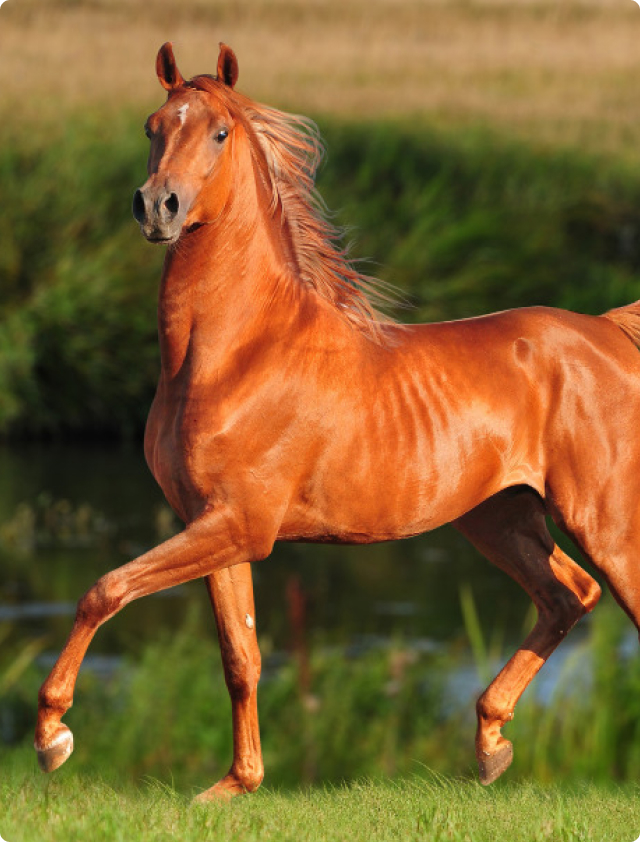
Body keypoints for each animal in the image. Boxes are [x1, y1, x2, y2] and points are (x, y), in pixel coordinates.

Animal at [34, 41, 640, 799]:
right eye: (152, 126)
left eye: (220, 133)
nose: (157, 206)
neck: (233, 354)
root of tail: (611, 333)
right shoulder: (211, 523)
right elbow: (241, 656)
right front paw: (234, 786)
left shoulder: (241, 525)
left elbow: (104, 589)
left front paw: (53, 736)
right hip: (499, 517)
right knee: (567, 596)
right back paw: (490, 744)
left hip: (603, 521)